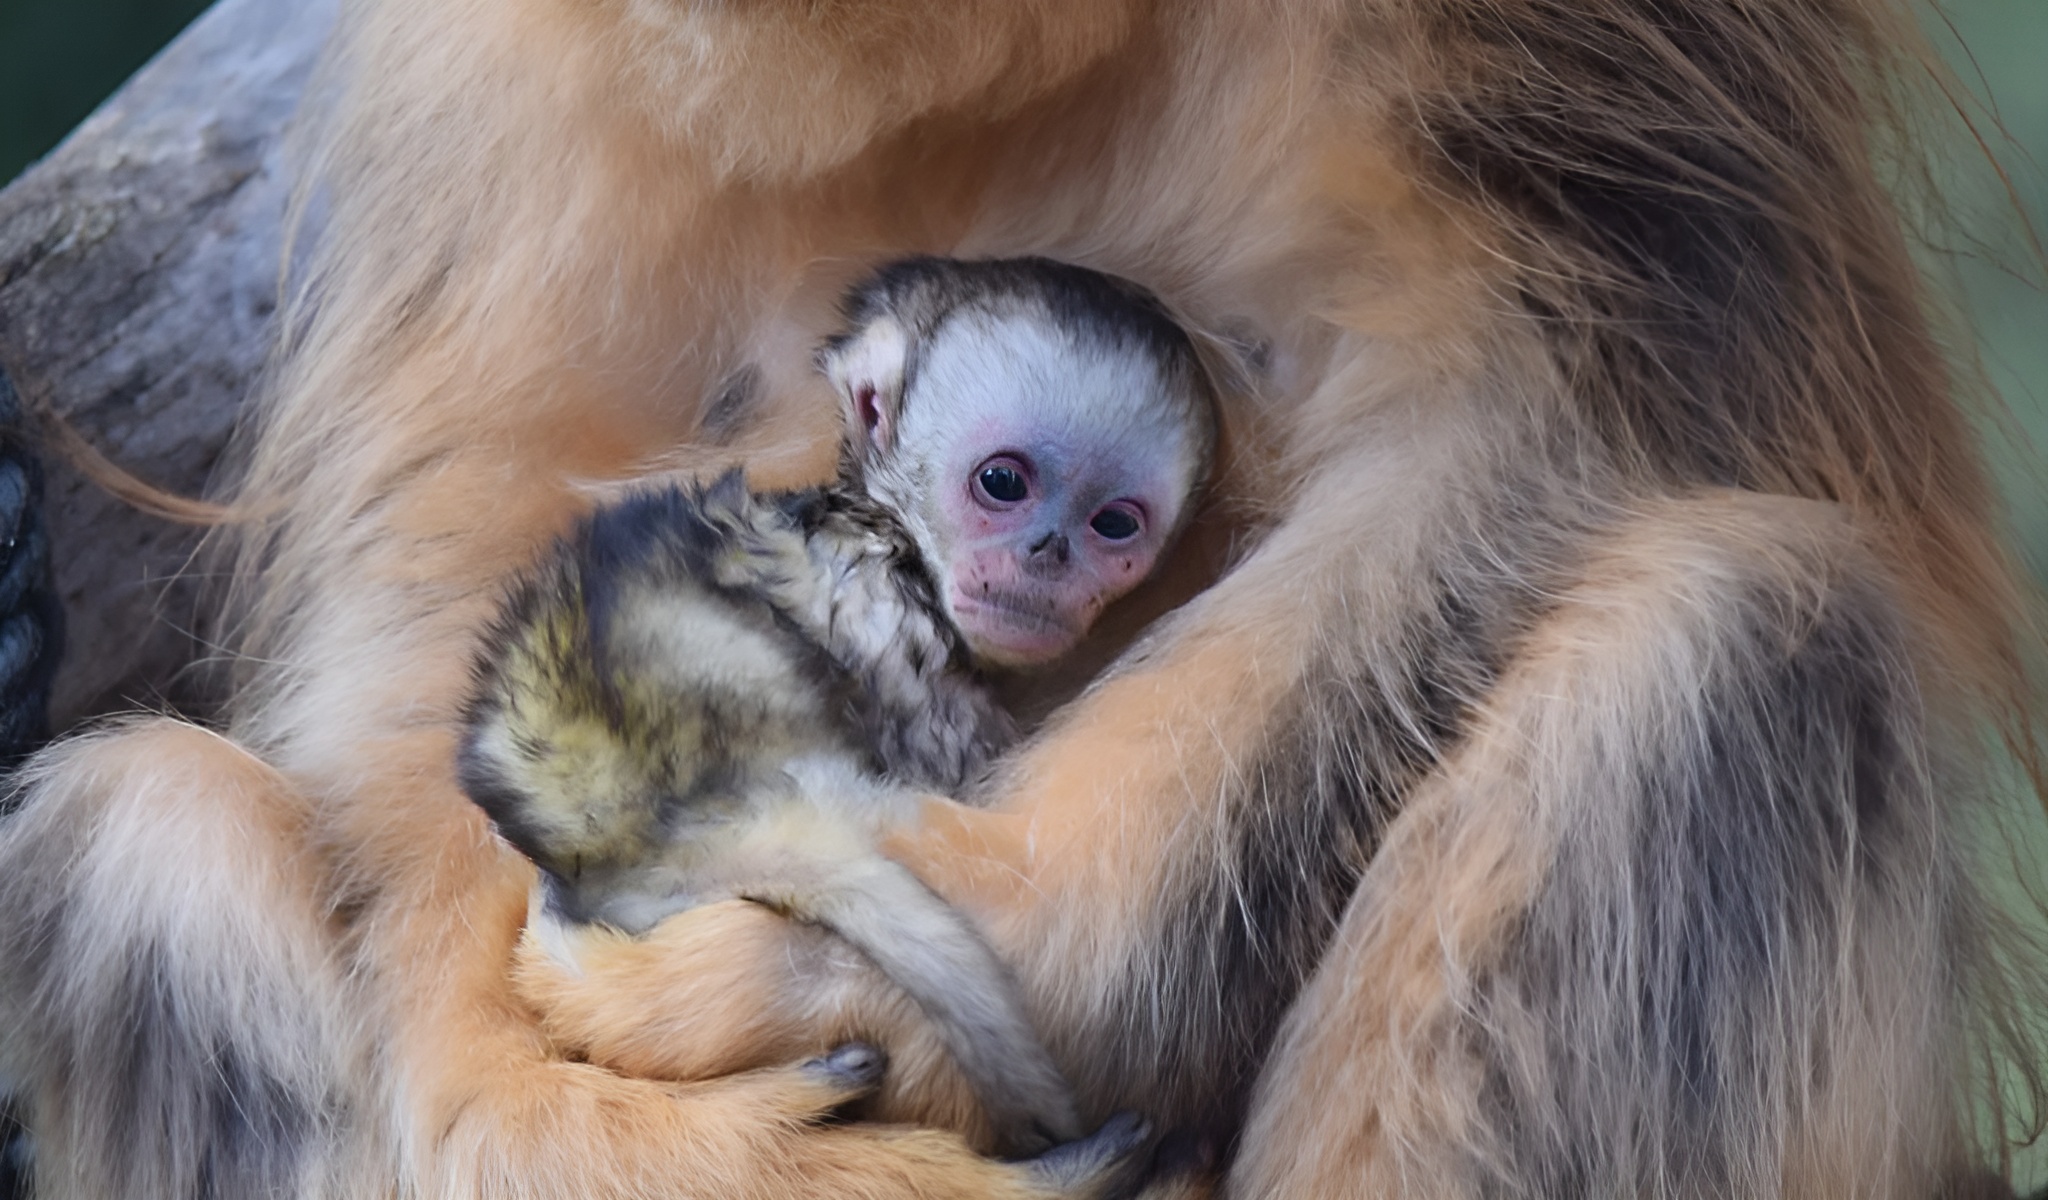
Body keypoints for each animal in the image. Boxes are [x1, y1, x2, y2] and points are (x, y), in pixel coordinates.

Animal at [457, 256, 1217, 1154]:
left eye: (1113, 523)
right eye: (1003, 482)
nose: (1049, 554)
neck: (882, 523)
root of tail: (673, 820)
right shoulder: (878, 599)